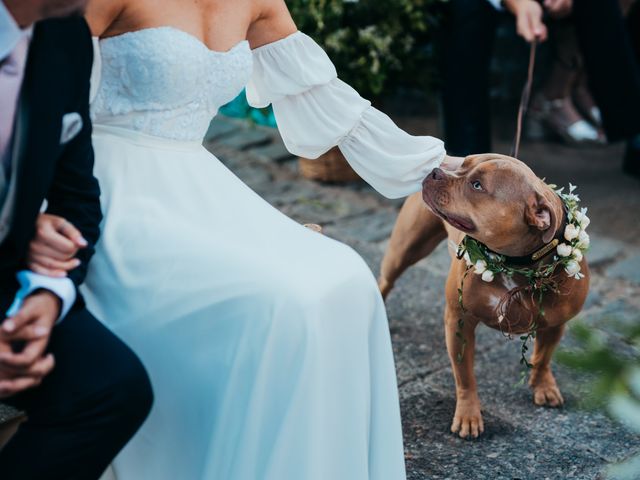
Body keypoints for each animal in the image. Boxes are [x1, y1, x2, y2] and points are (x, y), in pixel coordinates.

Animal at [380, 155, 592, 438]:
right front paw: (468, 415)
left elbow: (543, 357)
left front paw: (543, 385)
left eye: (477, 185)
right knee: (386, 280)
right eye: (462, 165)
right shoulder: (459, 322)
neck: (516, 263)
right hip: (405, 249)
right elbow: (465, 375)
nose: (436, 171)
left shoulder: (556, 324)